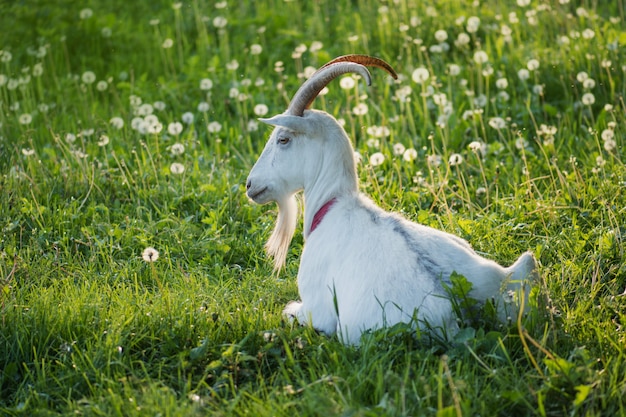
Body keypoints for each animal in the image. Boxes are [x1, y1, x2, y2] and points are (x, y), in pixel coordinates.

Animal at [245, 53, 536, 342]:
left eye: (283, 139)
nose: (250, 184)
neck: (333, 204)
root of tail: (457, 305)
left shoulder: (316, 309)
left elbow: (289, 309)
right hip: (516, 270)